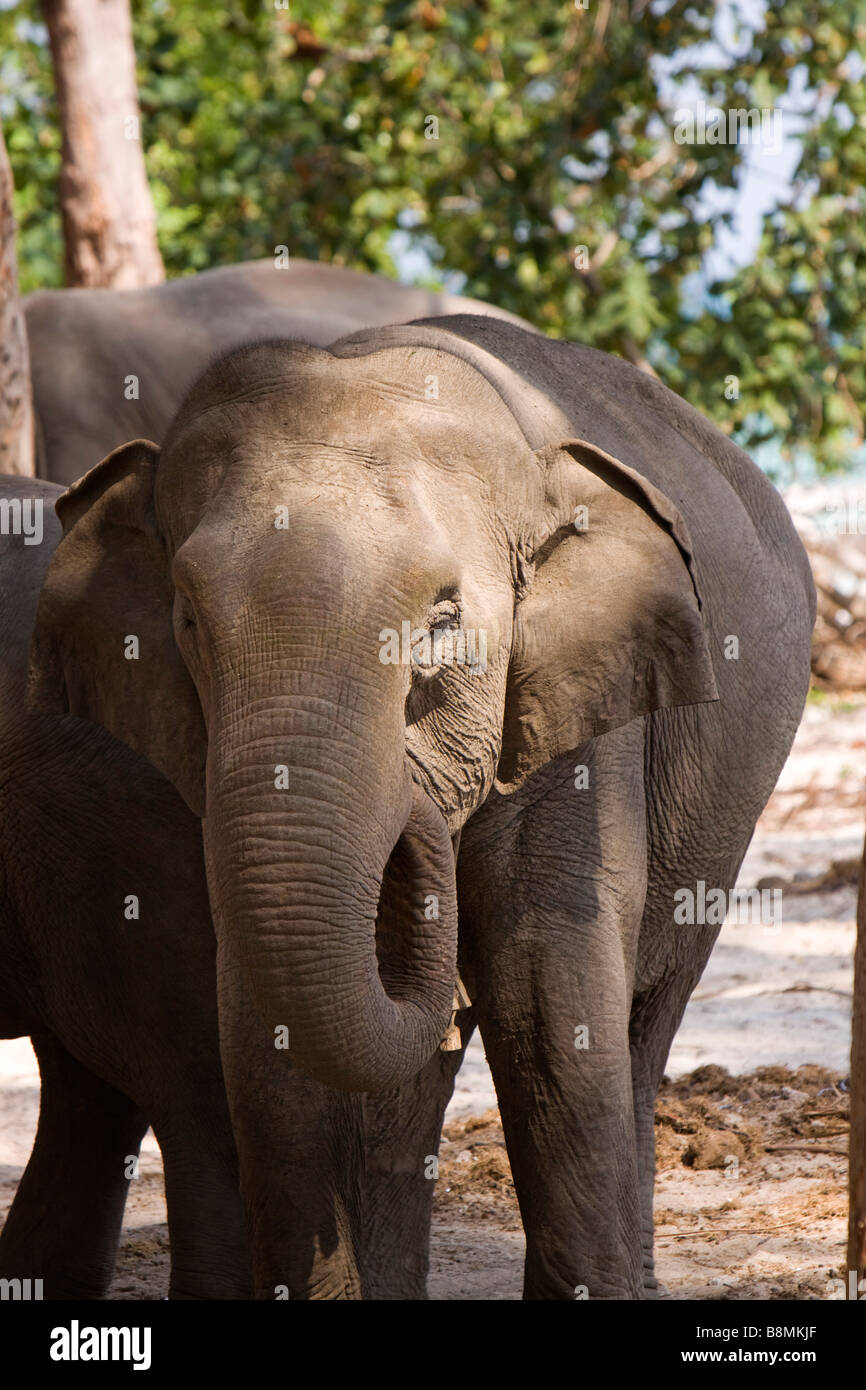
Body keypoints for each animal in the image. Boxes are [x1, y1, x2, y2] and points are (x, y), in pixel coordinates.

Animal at [25, 312, 811, 1289]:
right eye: (190, 623)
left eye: (442, 620)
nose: (420, 821)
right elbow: (262, 1026)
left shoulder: (581, 726)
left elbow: (550, 990)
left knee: (640, 1023)